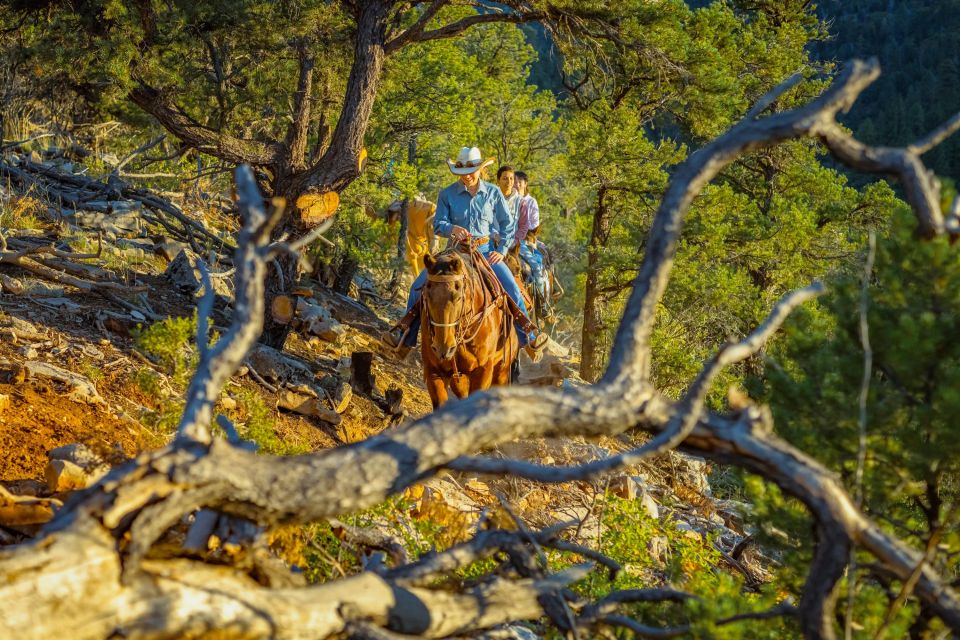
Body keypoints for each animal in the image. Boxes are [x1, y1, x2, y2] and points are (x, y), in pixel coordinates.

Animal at [420, 248, 516, 408]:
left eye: (458, 296)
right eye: (426, 293)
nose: (443, 348)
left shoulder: (483, 371)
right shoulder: (434, 370)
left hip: (501, 372)